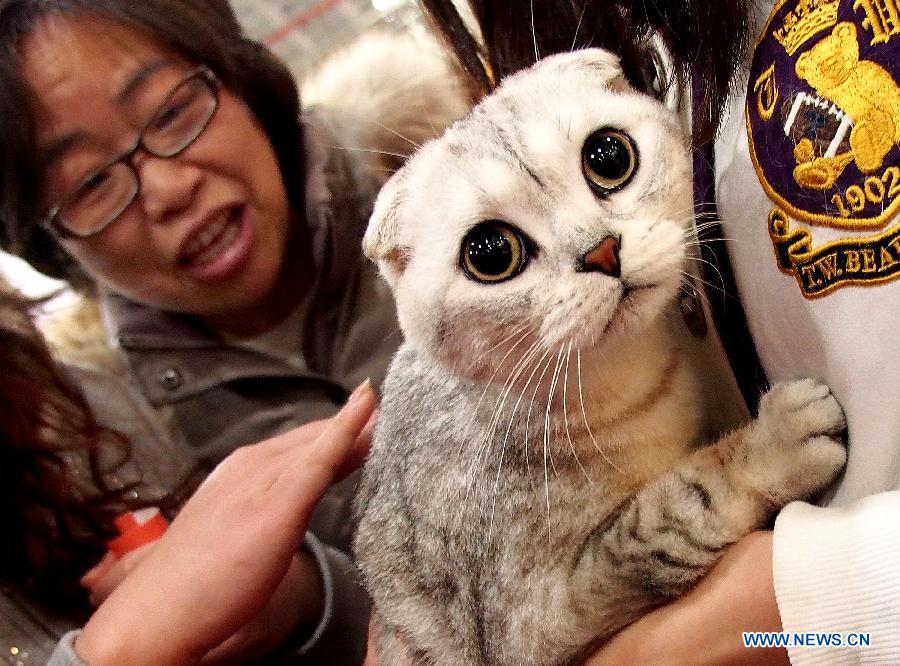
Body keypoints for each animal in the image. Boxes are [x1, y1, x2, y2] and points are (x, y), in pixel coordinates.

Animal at [352, 49, 844, 664]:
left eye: (609, 156)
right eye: (490, 253)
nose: (602, 252)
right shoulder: (531, 625)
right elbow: (667, 514)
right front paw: (771, 445)